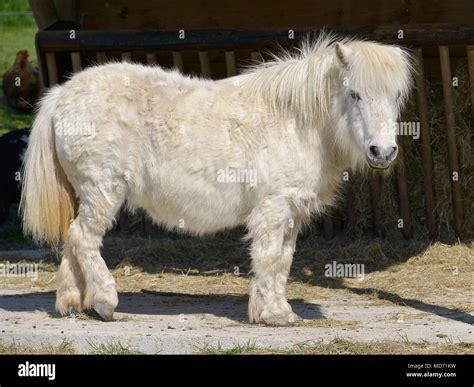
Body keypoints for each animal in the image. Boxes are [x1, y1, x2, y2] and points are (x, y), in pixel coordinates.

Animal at [21, 35, 412, 328]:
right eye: (354, 94)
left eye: (396, 96)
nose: (382, 151)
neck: (295, 120)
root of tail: (61, 95)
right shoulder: (273, 208)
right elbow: (269, 257)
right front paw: (272, 313)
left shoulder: (291, 213)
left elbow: (283, 260)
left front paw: (278, 310)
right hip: (102, 190)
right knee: (83, 238)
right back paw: (104, 301)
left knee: (72, 239)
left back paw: (73, 304)